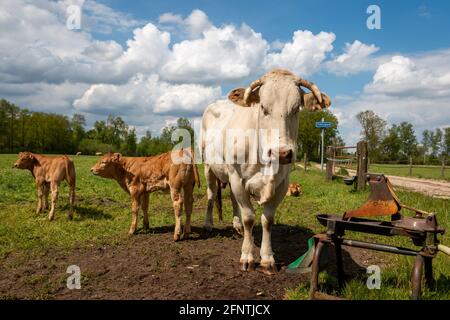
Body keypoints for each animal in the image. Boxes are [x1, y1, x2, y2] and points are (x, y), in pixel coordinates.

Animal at [200, 70, 330, 276]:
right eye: (262, 107)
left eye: (296, 108)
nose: (282, 153)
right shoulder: (237, 178)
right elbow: (249, 218)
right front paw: (247, 256)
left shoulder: (282, 183)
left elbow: (267, 220)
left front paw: (267, 259)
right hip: (208, 167)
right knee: (211, 195)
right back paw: (208, 224)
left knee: (232, 199)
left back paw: (236, 225)